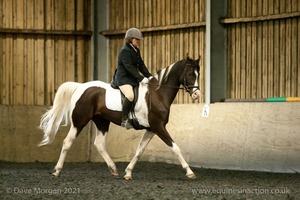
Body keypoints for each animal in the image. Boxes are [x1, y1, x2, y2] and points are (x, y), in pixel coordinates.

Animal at [38, 54, 202, 180]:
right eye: (189, 73)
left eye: (198, 74)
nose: (196, 95)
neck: (158, 94)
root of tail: (80, 86)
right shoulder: (158, 127)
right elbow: (175, 147)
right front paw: (190, 172)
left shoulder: (151, 129)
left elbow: (139, 150)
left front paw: (128, 173)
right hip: (79, 121)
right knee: (67, 142)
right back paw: (57, 171)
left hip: (102, 122)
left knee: (99, 144)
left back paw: (113, 169)